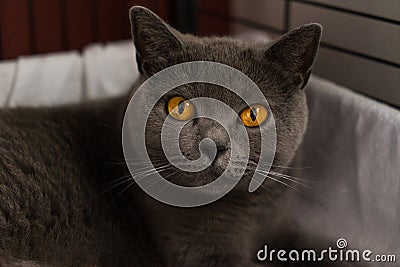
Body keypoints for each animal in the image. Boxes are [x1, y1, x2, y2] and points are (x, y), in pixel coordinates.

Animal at [0, 6, 324, 267]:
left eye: (253, 114)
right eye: (179, 107)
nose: (212, 142)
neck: (252, 214)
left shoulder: (285, 224)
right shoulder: (201, 253)